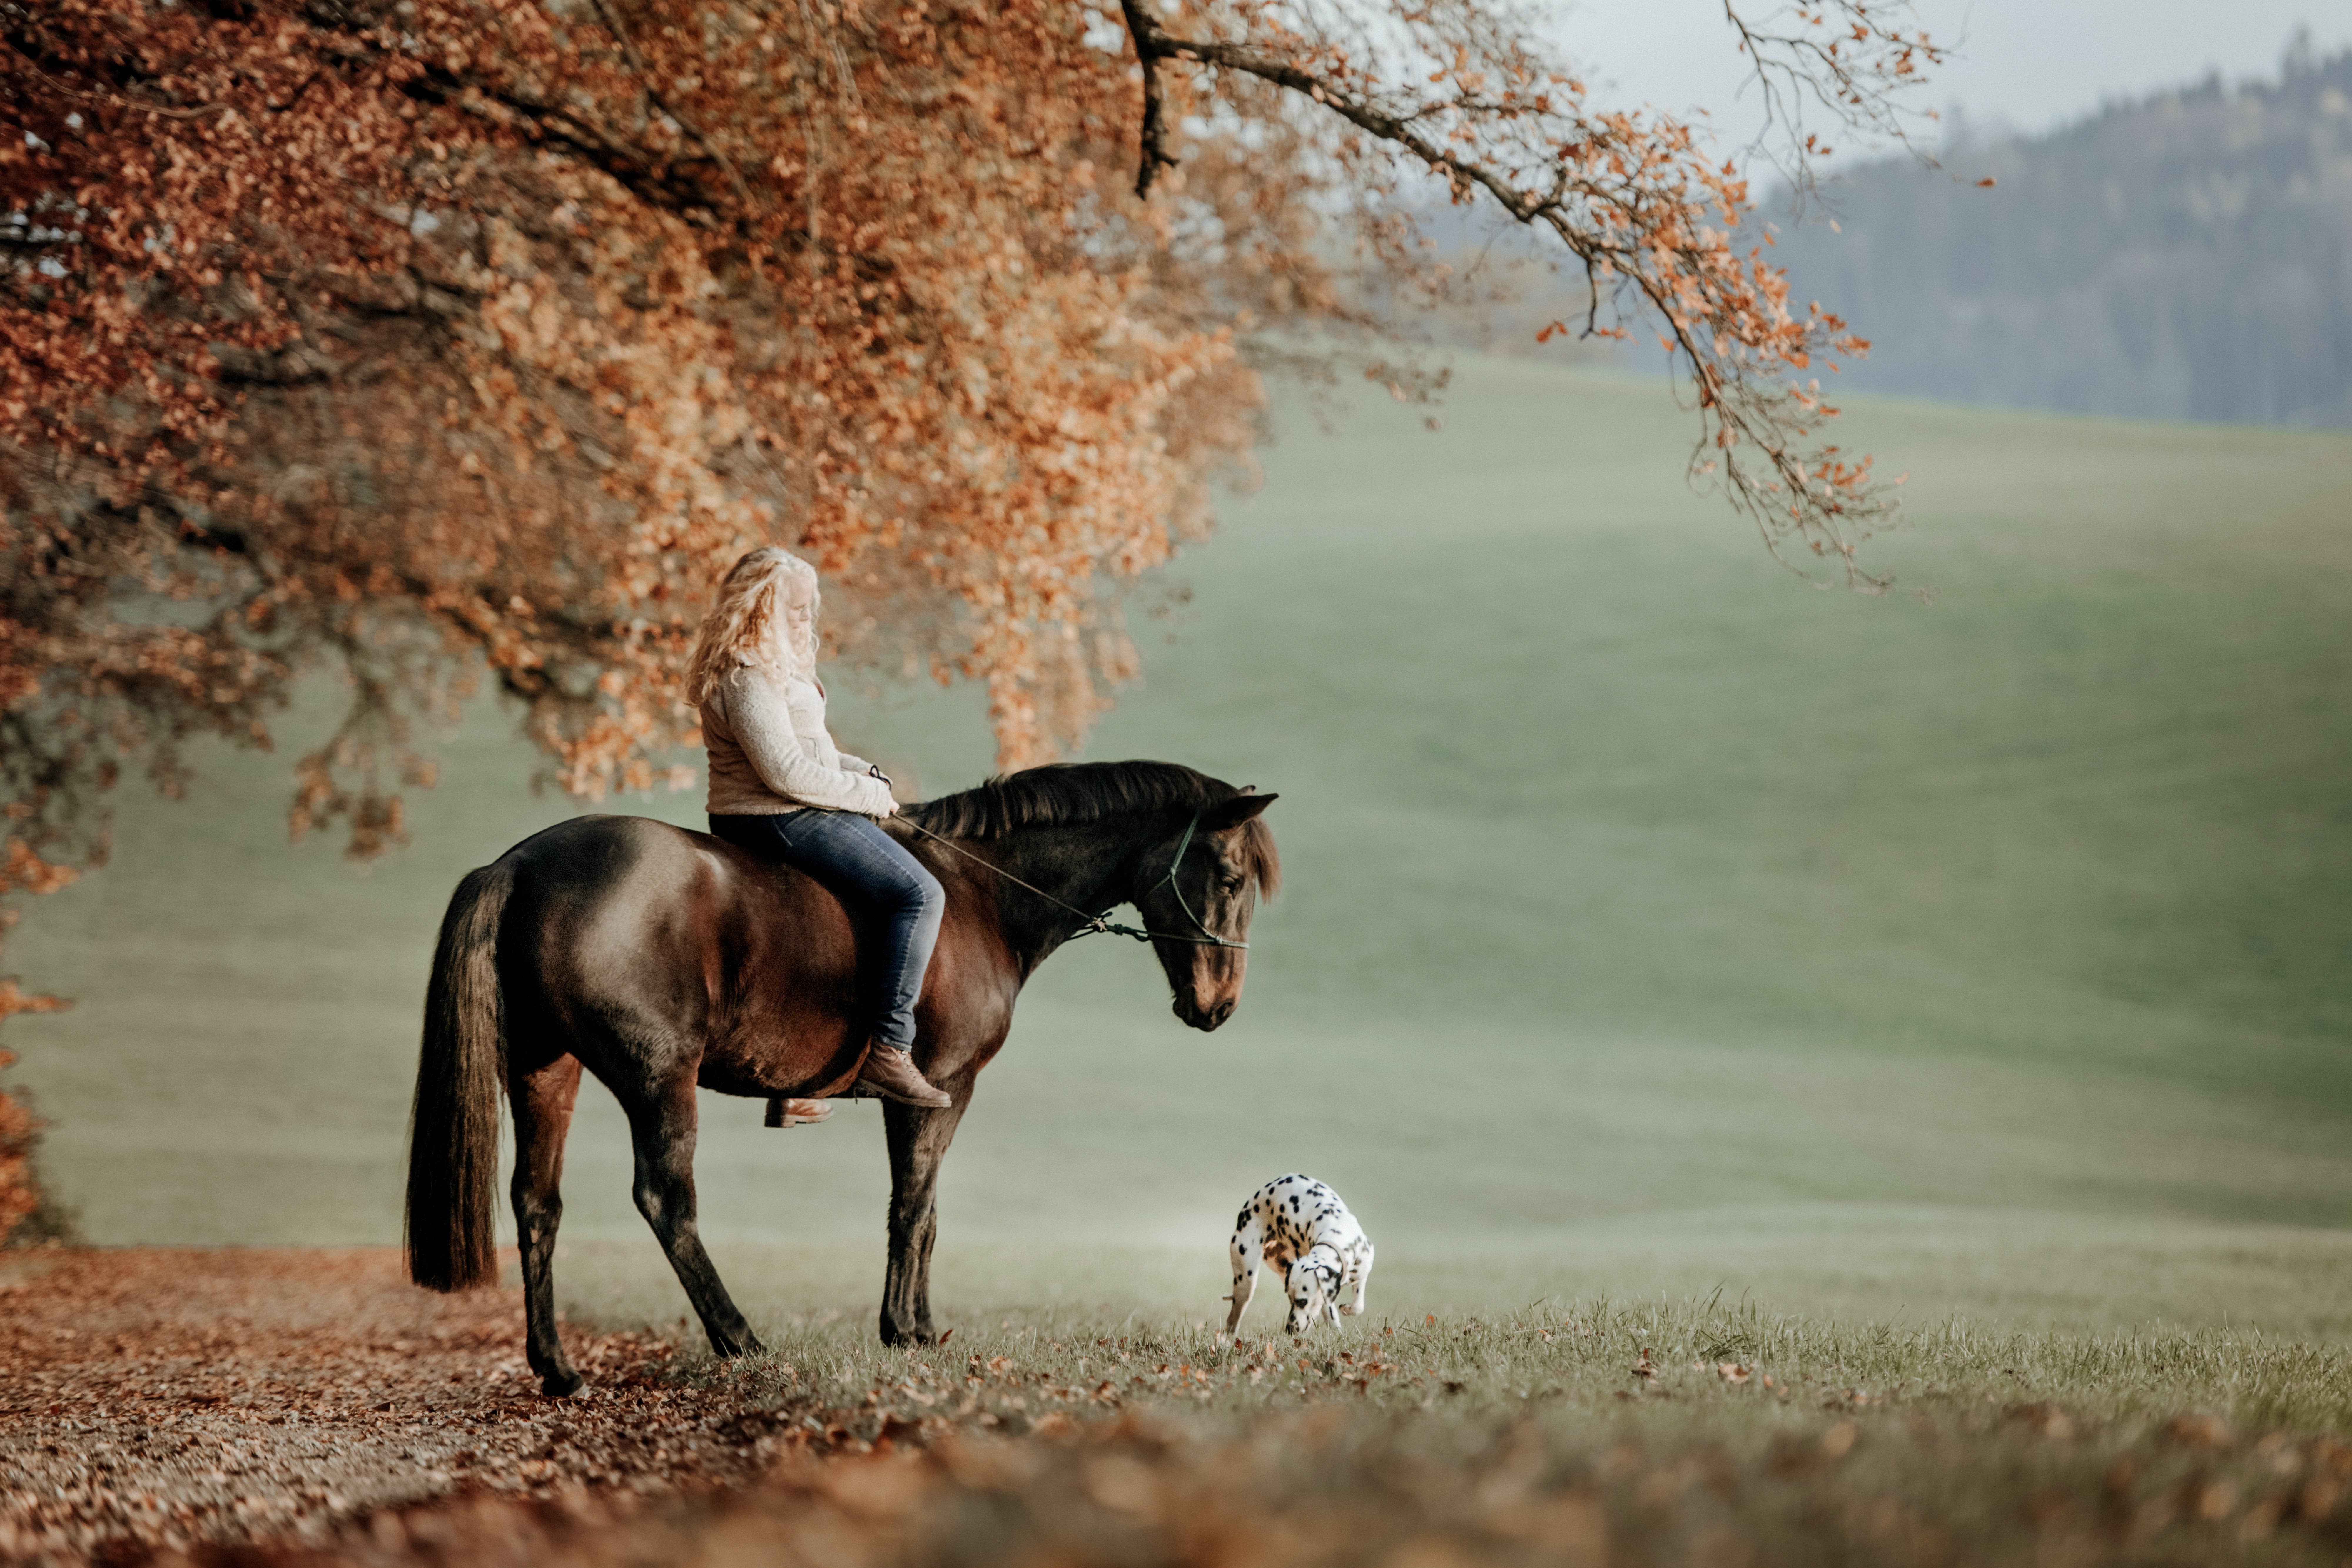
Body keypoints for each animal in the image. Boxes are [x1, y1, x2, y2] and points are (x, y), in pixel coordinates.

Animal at [401, 759, 1280, 1395]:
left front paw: (914, 1325)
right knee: (665, 1201)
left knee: (537, 1204)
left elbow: (923, 1211)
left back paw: (557, 1367)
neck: (982, 893)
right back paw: (740, 1338)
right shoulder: (941, 1090)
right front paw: (907, 1332)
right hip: (659, 1078)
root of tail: (520, 864)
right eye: (1230, 879)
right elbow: (914, 1209)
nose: (1221, 1006)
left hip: (546, 1068)